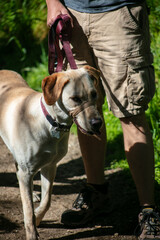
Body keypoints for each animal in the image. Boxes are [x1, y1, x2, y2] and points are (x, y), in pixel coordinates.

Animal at [0, 64, 102, 239]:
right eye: (75, 99)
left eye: (94, 94)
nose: (97, 123)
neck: (51, 123)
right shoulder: (27, 171)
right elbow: (28, 211)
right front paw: (32, 233)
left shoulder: (50, 166)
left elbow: (46, 200)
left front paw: (38, 217)